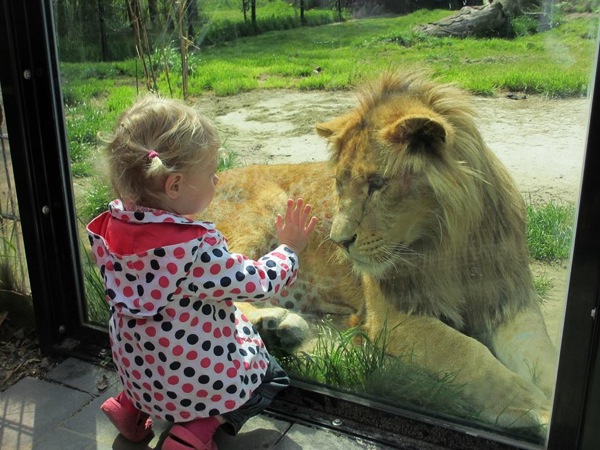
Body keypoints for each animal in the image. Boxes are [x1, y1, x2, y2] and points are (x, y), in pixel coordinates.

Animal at [202, 70, 556, 432]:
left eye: (377, 184)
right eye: (339, 183)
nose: (338, 241)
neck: (446, 248)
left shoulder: (509, 300)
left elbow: (542, 353)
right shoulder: (392, 315)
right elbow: (467, 352)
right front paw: (534, 408)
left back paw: (284, 332)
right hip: (264, 211)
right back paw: (273, 321)